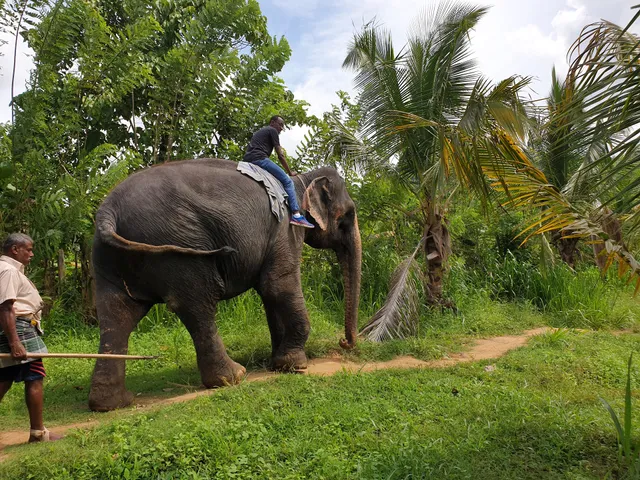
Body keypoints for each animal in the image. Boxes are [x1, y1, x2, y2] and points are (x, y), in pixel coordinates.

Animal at [88, 158, 361, 411]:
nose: (345, 342)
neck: (301, 180)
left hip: (109, 259)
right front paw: (295, 365)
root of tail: (108, 210)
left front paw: (277, 362)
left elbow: (268, 293)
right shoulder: (286, 229)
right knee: (198, 305)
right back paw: (233, 377)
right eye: (348, 216)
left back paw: (112, 404)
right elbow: (277, 285)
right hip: (180, 249)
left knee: (117, 314)